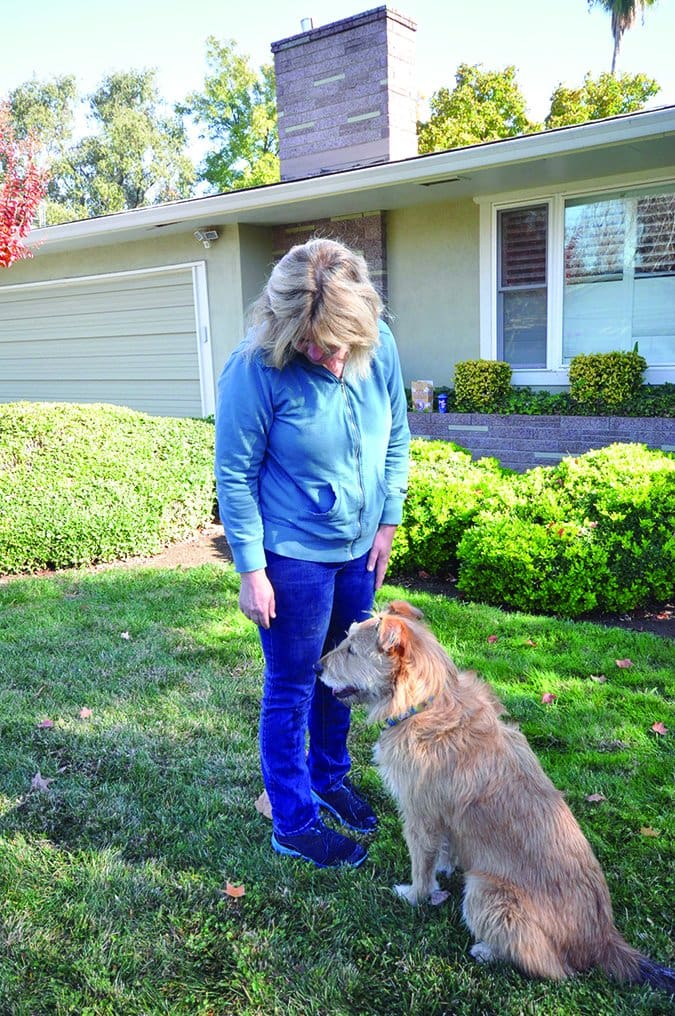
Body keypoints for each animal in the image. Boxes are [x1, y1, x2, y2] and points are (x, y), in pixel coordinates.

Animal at [317, 597, 675, 987]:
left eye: (351, 649)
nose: (315, 667)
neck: (426, 704)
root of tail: (603, 940)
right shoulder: (443, 820)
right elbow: (445, 849)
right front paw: (444, 867)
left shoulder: (419, 817)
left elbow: (421, 868)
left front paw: (414, 896)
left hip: (485, 892)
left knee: (551, 968)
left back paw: (488, 951)